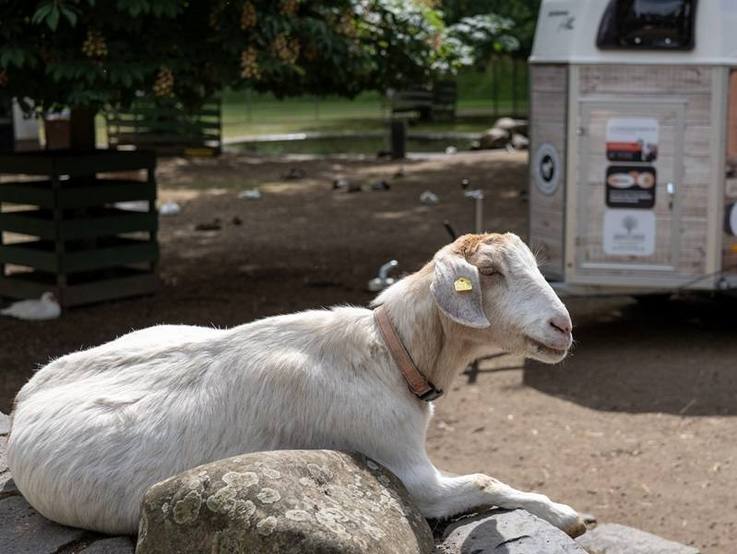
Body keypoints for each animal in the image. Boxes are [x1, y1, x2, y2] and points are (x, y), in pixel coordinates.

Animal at [7, 233, 584, 536]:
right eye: (489, 271)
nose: (563, 327)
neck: (387, 354)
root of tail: (25, 393)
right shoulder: (406, 472)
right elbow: (486, 481)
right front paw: (568, 516)